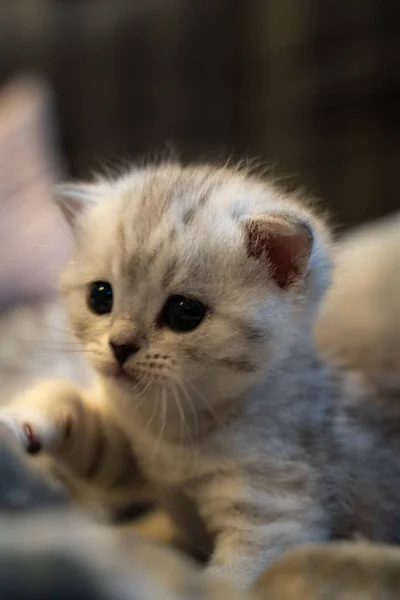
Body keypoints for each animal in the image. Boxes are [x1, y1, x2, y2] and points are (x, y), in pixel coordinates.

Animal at [2, 162, 400, 588]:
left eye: (184, 312)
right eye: (100, 296)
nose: (120, 346)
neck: (176, 428)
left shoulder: (276, 520)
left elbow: (225, 583)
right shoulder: (135, 458)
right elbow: (74, 408)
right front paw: (21, 419)